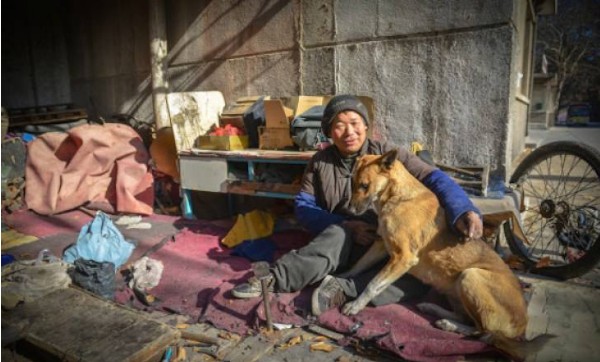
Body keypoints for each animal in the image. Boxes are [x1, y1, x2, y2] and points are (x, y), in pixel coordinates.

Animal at [340, 150, 552, 360]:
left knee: (483, 333)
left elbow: (372, 285)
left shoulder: (402, 258)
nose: (347, 209)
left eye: (364, 185)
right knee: (468, 320)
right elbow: (358, 266)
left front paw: (355, 305)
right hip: (455, 289)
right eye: (352, 183)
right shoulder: (381, 245)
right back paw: (433, 309)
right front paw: (341, 276)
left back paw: (449, 325)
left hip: (470, 275)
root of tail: (522, 327)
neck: (397, 196)